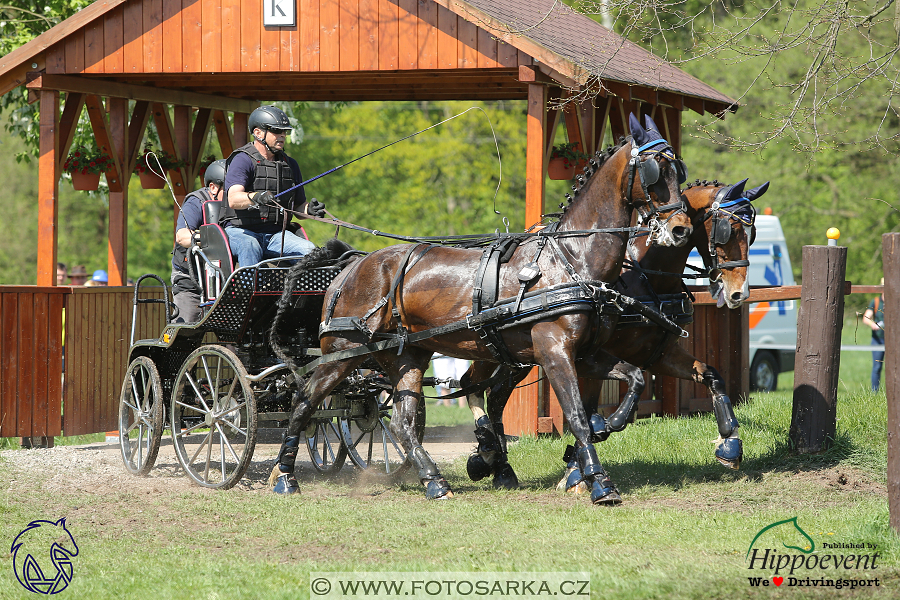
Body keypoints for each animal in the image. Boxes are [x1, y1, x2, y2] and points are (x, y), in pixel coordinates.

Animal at [268, 112, 688, 502]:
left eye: (678, 169)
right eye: (655, 170)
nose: (681, 228)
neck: (571, 258)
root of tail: (352, 265)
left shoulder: (586, 354)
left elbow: (633, 380)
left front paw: (604, 429)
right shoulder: (554, 352)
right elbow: (576, 416)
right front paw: (600, 482)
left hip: (409, 356)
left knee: (404, 422)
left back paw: (436, 480)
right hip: (343, 354)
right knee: (306, 403)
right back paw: (284, 476)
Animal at [460, 178, 768, 496]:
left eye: (752, 233)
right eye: (729, 229)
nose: (738, 293)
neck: (644, 278)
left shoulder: (657, 355)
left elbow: (711, 376)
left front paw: (730, 442)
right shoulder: (591, 355)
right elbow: (587, 409)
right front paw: (580, 467)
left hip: (516, 358)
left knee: (495, 396)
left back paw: (498, 465)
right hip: (494, 350)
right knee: (473, 385)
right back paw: (488, 455)